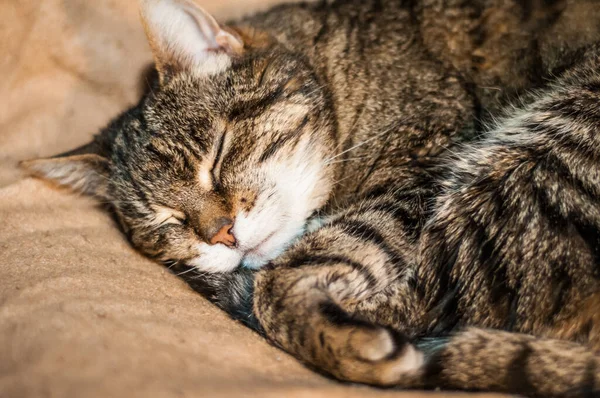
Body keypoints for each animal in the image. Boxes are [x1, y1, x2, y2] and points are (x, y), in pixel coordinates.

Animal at [23, 0, 600, 396]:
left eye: (217, 154)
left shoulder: (422, 161)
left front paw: (351, 346)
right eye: (168, 221)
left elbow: (277, 285)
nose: (222, 234)